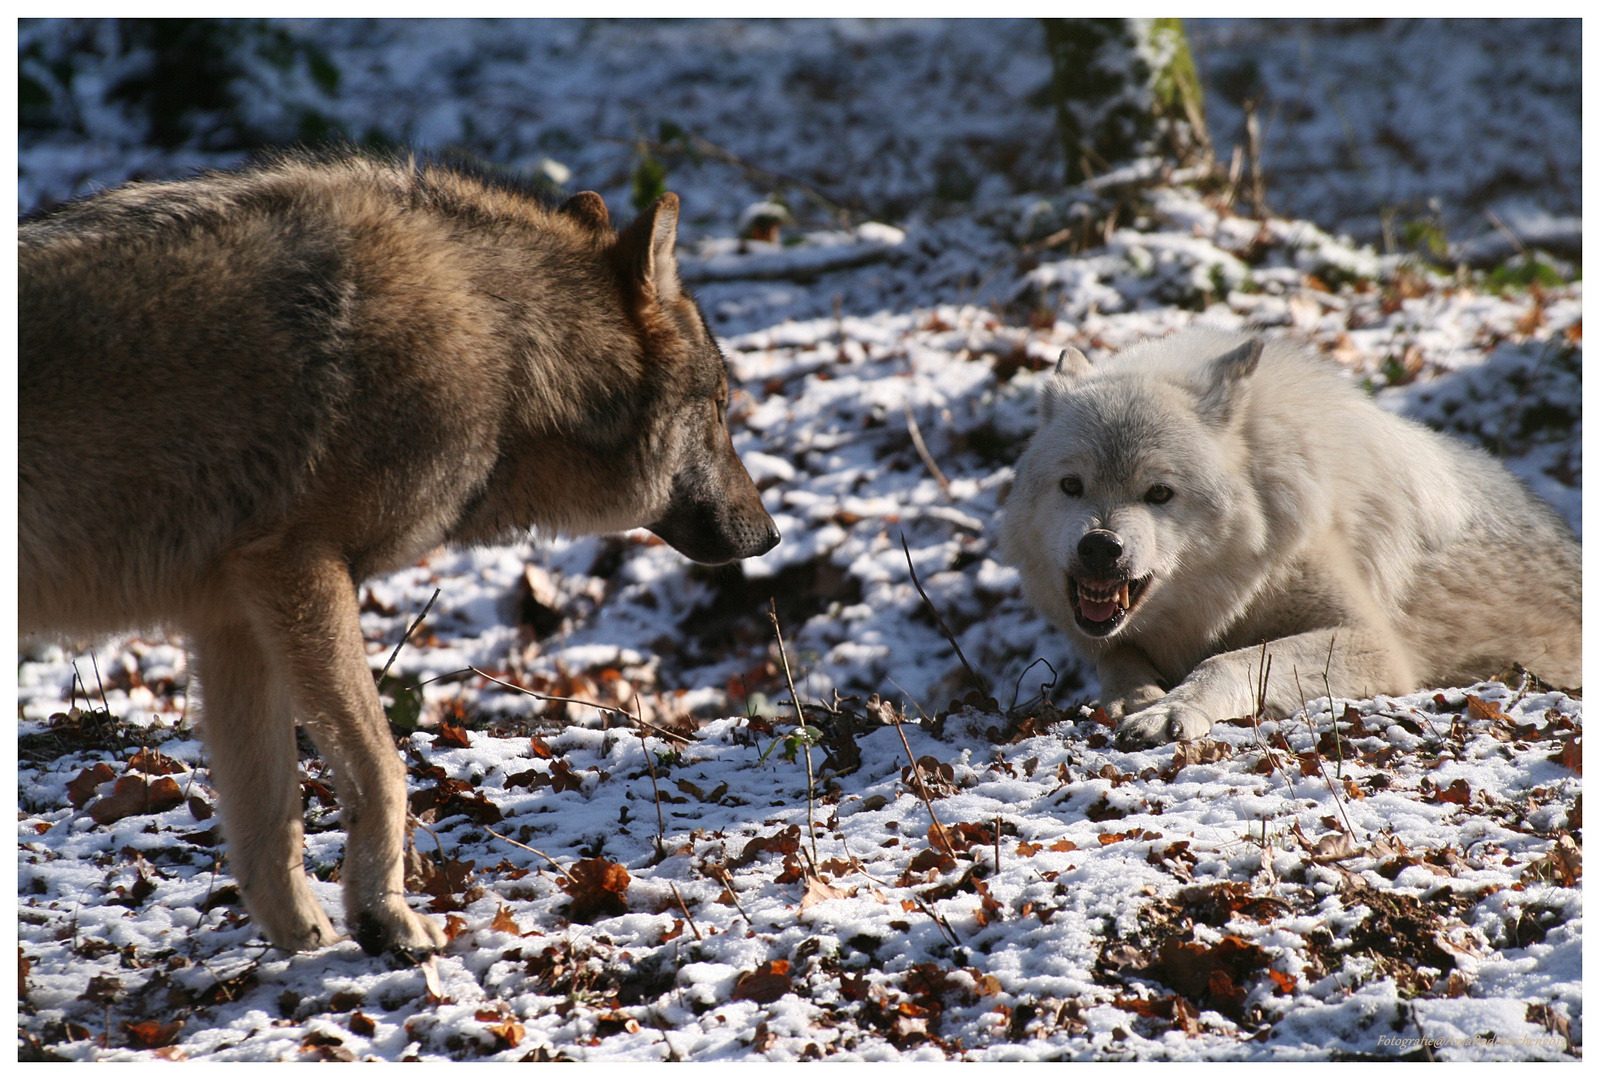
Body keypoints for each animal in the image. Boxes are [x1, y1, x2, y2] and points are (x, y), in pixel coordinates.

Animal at [18, 149, 780, 953]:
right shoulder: (301, 571)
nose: (770, 535)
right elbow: (384, 768)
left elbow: (271, 821)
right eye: (721, 405)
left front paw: (307, 944)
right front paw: (387, 919)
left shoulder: (230, 618)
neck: (506, 349)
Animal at [1004, 329, 1580, 748]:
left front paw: (1174, 709)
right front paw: (1138, 696)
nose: (1101, 547)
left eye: (1159, 493)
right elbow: (1117, 655)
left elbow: (1232, 660)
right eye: (1072, 485)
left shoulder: (1379, 645)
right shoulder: (1112, 637)